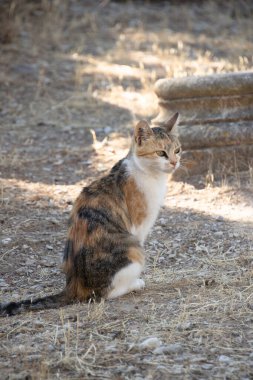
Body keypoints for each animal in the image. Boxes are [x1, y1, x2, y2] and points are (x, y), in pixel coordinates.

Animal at [0, 111, 182, 316]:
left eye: (177, 150)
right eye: (161, 153)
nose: (175, 162)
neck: (148, 174)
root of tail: (73, 285)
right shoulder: (139, 227)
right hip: (133, 250)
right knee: (107, 292)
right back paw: (135, 283)